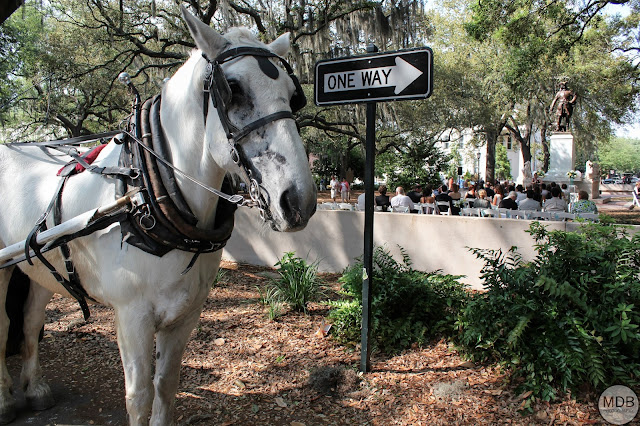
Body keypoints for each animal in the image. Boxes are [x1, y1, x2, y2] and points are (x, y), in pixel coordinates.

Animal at [0, 8, 316, 424]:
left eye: (293, 96)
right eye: (233, 88)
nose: (299, 201)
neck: (145, 192)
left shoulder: (187, 314)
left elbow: (166, 386)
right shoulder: (132, 316)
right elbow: (139, 397)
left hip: (40, 263)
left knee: (31, 319)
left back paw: (35, 387)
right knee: (4, 325)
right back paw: (6, 398)